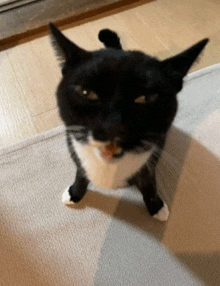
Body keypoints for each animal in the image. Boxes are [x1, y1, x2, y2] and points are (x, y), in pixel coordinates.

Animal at [49, 23, 209, 222]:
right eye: (86, 92)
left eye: (145, 98)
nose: (112, 127)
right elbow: (80, 173)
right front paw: (75, 193)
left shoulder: (149, 162)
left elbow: (149, 183)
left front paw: (156, 206)